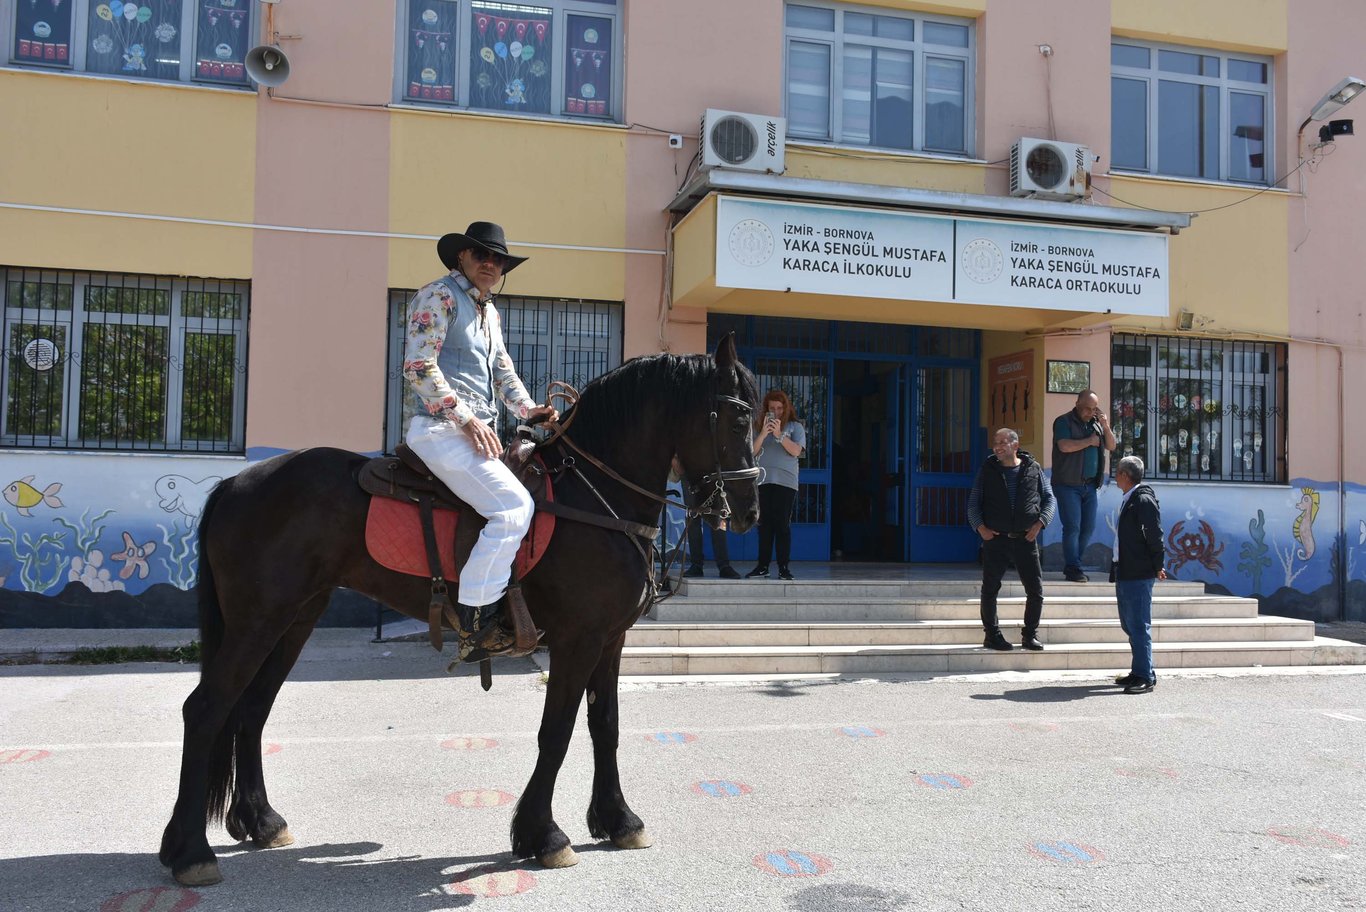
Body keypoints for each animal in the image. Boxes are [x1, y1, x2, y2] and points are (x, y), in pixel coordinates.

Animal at [159, 333, 764, 884]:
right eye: (736, 420)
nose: (749, 511)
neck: (593, 498)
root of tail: (236, 481)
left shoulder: (609, 639)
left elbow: (605, 724)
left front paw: (618, 821)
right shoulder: (577, 641)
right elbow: (557, 732)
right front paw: (543, 835)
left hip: (293, 620)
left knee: (251, 711)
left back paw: (260, 821)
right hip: (258, 621)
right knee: (205, 709)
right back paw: (190, 851)